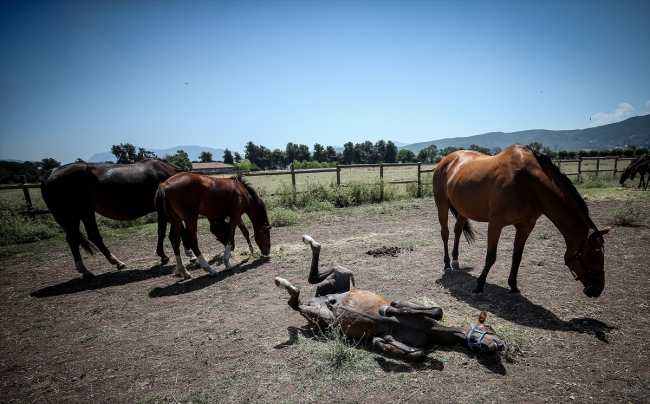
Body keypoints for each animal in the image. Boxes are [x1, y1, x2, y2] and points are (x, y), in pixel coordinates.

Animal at [40, 159, 191, 280]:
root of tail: (53, 171)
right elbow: (179, 231)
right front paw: (190, 253)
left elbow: (161, 232)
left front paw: (163, 255)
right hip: (75, 214)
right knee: (75, 239)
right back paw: (86, 270)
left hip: (85, 212)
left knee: (92, 236)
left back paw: (115, 262)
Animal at [272, 235, 502, 362]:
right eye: (489, 327)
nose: (499, 344)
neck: (429, 331)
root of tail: (320, 298)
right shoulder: (406, 305)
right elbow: (431, 310)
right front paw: (386, 311)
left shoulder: (398, 338)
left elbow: (417, 353)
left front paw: (381, 341)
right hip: (332, 302)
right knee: (296, 300)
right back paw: (287, 275)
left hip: (327, 313)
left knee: (303, 291)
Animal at [432, 144, 612, 296]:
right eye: (594, 255)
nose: (598, 289)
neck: (527, 181)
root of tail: (448, 160)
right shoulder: (496, 224)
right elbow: (491, 256)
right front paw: (479, 286)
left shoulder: (526, 226)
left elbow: (517, 256)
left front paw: (513, 286)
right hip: (442, 205)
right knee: (445, 233)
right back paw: (447, 265)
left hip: (464, 209)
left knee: (457, 230)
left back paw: (455, 260)